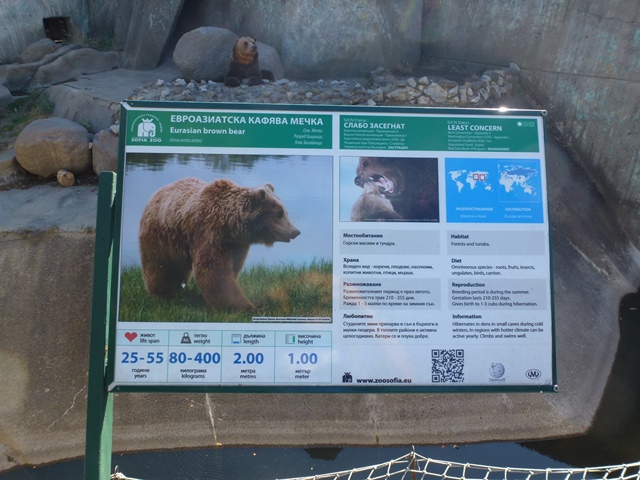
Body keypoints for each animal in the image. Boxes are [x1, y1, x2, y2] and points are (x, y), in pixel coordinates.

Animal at [138, 177, 300, 311]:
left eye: (285, 211)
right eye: (279, 213)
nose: (295, 231)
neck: (231, 226)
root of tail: (158, 192)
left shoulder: (236, 245)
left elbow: (231, 268)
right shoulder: (210, 233)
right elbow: (214, 271)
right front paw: (245, 306)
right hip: (160, 236)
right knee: (159, 266)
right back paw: (162, 292)